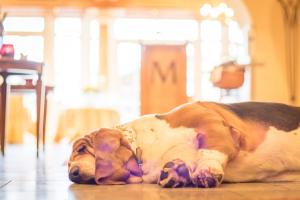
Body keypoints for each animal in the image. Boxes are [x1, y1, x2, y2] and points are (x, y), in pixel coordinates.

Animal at [67, 101, 300, 188]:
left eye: (81, 149)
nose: (72, 174)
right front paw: (174, 173)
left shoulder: (211, 123)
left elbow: (209, 151)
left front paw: (206, 171)